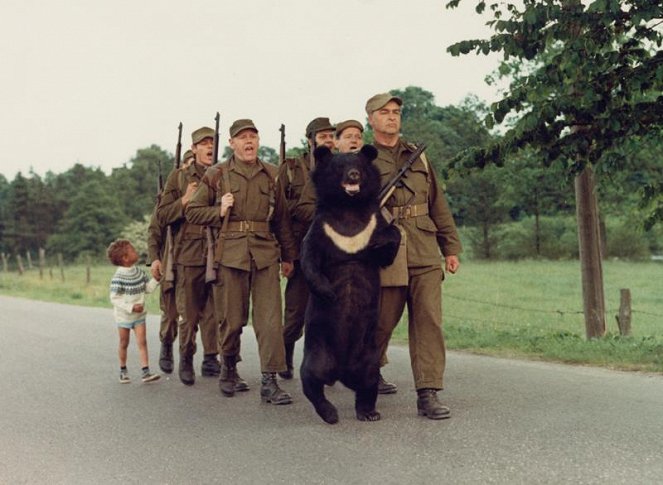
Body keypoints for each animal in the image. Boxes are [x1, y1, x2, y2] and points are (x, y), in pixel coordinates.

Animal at [300, 145, 400, 424]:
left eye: (359, 167)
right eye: (340, 167)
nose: (354, 175)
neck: (348, 207)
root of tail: (341, 373)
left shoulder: (372, 223)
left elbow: (389, 243)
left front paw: (384, 240)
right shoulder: (322, 228)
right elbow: (309, 258)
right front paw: (329, 292)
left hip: (367, 356)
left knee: (368, 382)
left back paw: (369, 412)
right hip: (318, 349)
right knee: (311, 379)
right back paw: (330, 413)